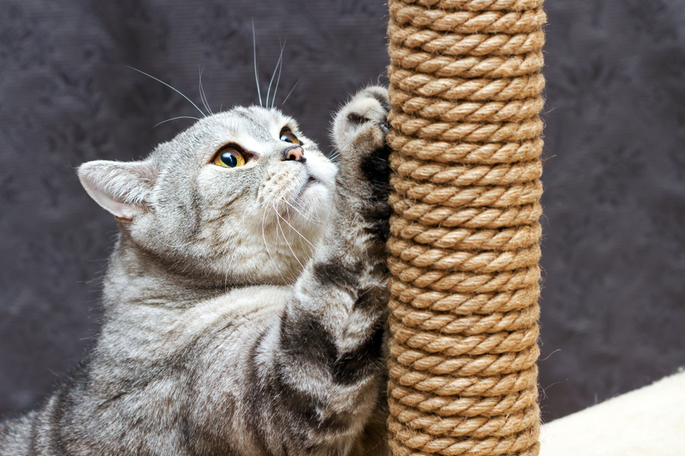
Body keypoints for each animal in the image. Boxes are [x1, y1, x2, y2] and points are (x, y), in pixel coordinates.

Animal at [0, 83, 390, 454]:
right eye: (229, 159)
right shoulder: (292, 393)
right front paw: (363, 131)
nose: (297, 152)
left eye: (288, 136)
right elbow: (349, 242)